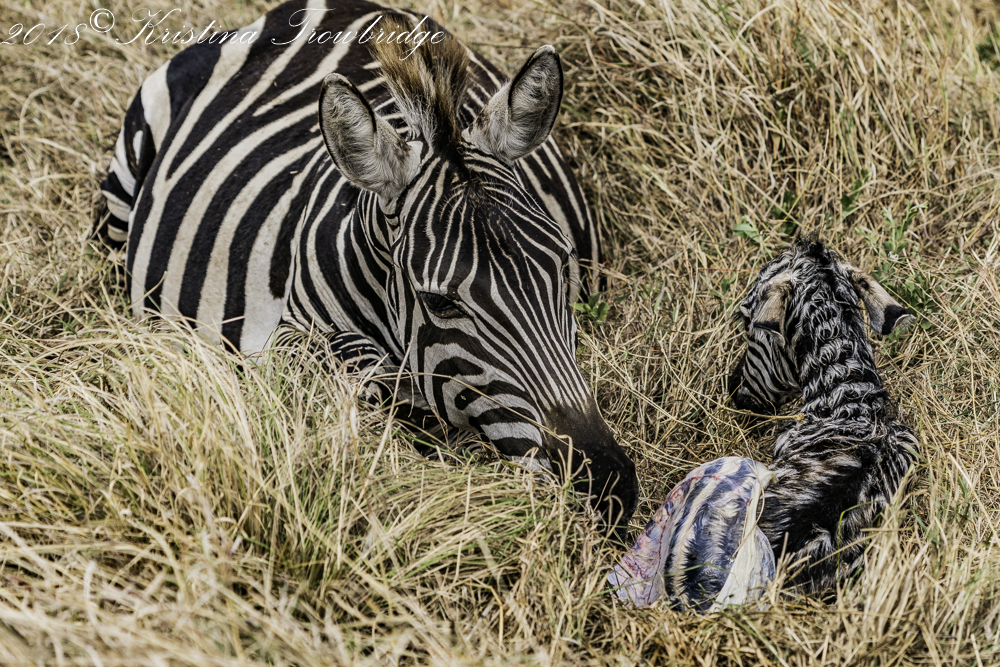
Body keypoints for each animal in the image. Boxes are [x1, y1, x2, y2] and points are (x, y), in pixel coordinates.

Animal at [95, 0, 638, 532]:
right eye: (438, 302)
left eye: (562, 264)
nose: (608, 487)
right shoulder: (290, 340)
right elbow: (351, 369)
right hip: (123, 184)